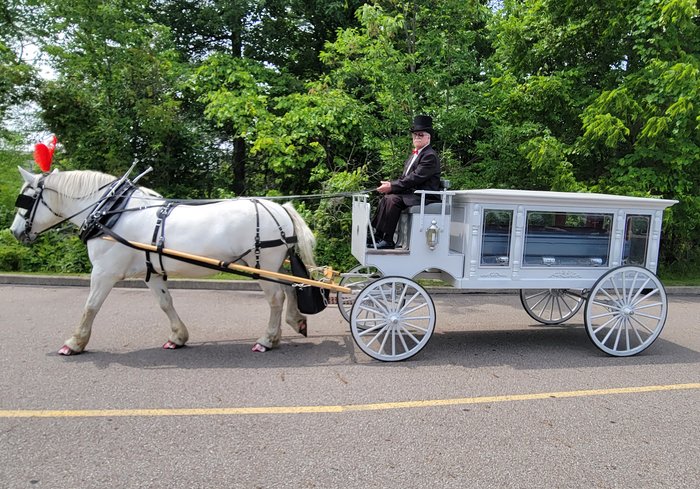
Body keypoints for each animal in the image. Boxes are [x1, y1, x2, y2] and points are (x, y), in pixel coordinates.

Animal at [10, 168, 318, 354]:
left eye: (25, 199)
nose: (14, 231)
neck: (109, 211)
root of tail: (281, 208)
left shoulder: (104, 272)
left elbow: (90, 306)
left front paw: (74, 343)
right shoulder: (153, 272)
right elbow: (165, 303)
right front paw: (178, 337)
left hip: (261, 264)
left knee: (276, 298)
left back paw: (266, 340)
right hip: (274, 266)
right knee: (292, 288)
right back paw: (294, 323)